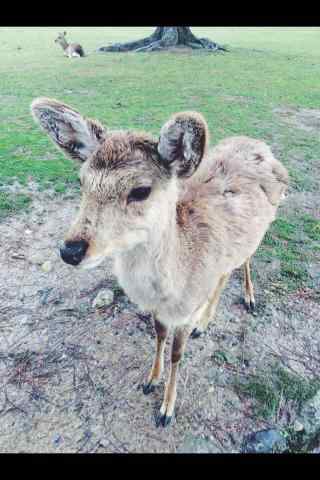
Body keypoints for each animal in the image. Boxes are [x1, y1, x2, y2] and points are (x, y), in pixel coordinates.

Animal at [31, 97, 288, 428]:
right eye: (81, 181)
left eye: (141, 190)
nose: (70, 250)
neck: (172, 286)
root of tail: (261, 146)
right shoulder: (160, 309)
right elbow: (158, 336)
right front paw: (150, 380)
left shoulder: (184, 310)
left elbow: (177, 354)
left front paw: (167, 410)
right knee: (223, 274)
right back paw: (205, 322)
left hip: (261, 230)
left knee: (244, 262)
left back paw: (248, 299)